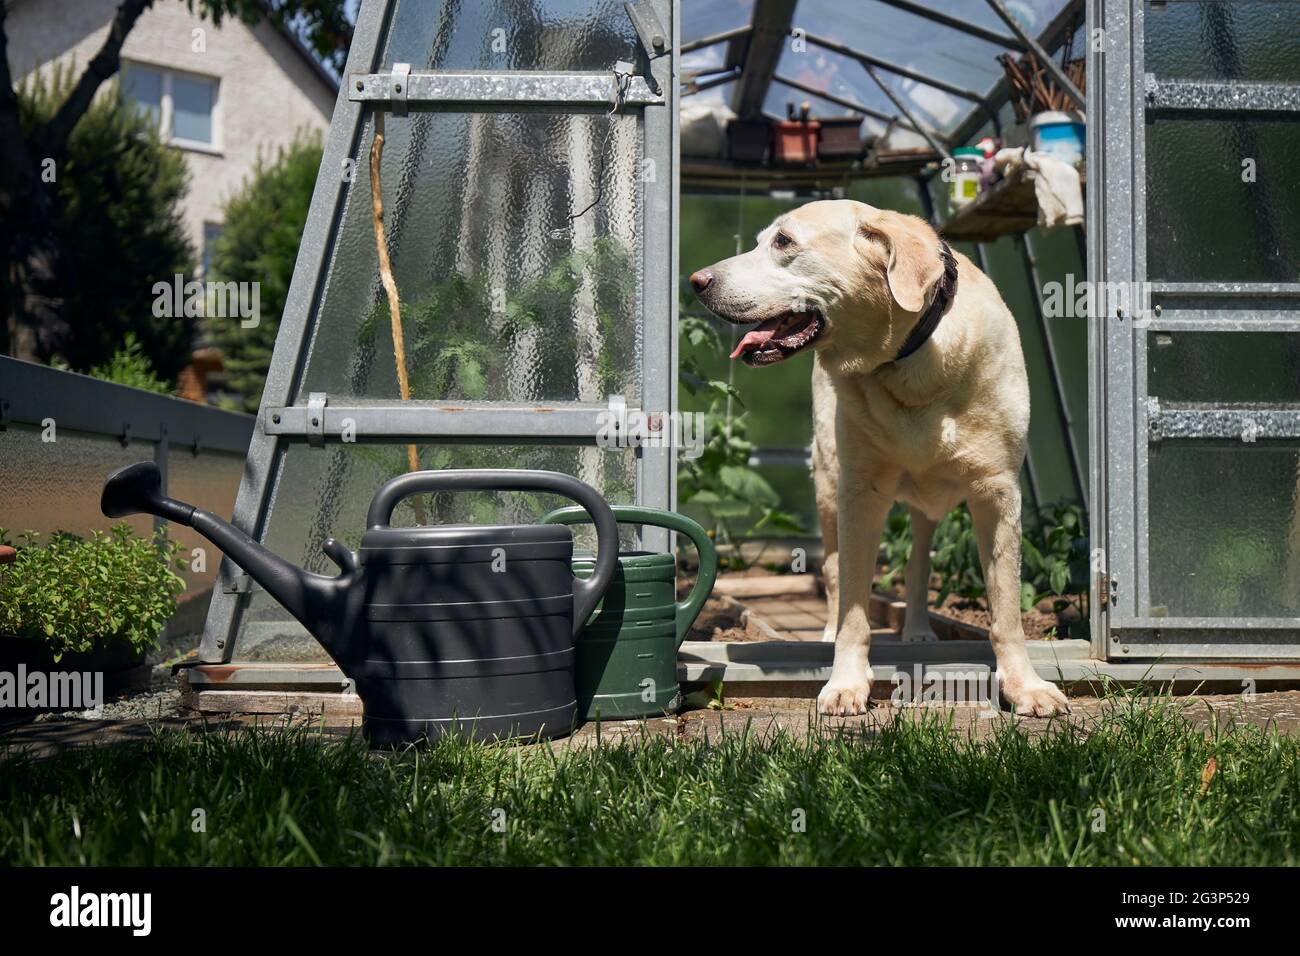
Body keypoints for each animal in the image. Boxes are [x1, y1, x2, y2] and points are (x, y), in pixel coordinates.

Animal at [691, 197, 1066, 712]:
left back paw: (918, 632)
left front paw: (1026, 686)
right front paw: (847, 682)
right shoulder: (859, 492)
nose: (696, 281)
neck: (909, 361)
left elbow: (1005, 608)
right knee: (833, 569)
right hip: (829, 484)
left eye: (783, 242)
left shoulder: (998, 491)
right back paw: (830, 633)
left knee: (919, 561)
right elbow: (854, 606)